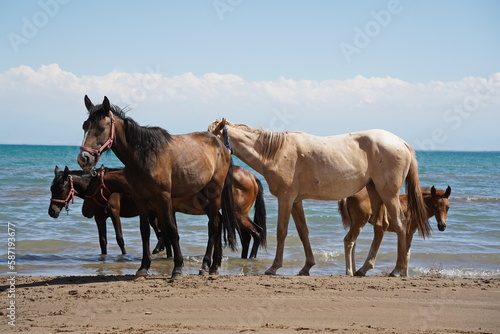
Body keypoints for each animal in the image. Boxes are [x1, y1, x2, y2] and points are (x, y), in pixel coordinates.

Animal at [78, 96, 238, 276]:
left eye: (101, 127)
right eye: (84, 126)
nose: (84, 158)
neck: (144, 157)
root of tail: (223, 147)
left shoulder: (164, 197)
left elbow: (171, 230)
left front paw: (177, 267)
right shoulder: (141, 199)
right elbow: (145, 231)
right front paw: (143, 267)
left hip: (214, 192)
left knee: (214, 225)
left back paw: (205, 265)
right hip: (202, 195)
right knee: (216, 222)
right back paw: (213, 266)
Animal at [83, 166, 268, 260]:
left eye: (91, 186)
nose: (85, 211)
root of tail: (252, 176)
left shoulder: (162, 210)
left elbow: (167, 234)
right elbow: (167, 233)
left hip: (238, 215)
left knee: (257, 233)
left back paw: (251, 257)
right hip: (236, 216)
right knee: (247, 237)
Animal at [209, 118, 432, 276]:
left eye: (211, 137)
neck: (275, 152)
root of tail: (401, 143)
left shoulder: (286, 198)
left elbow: (282, 232)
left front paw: (274, 267)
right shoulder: (296, 201)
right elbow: (303, 232)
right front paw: (307, 267)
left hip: (388, 194)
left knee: (400, 224)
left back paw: (397, 270)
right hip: (375, 191)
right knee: (381, 226)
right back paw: (363, 269)